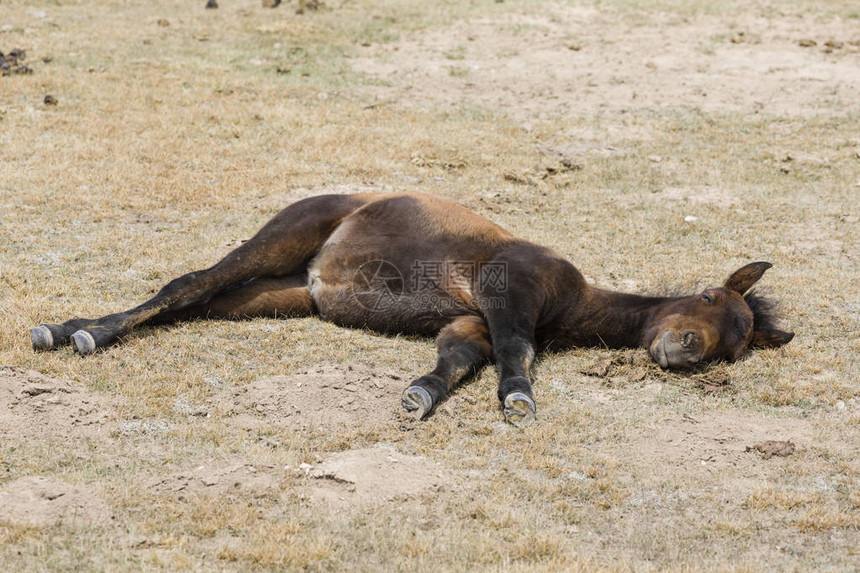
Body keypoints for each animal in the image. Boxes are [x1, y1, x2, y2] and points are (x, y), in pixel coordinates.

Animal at [30, 192, 796, 424]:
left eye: (733, 347)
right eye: (706, 297)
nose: (685, 349)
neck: (570, 299)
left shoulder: (469, 321)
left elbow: (455, 360)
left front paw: (419, 396)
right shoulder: (507, 292)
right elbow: (516, 351)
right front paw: (517, 399)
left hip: (276, 294)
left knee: (193, 303)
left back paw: (73, 329)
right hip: (279, 238)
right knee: (185, 285)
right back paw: (79, 334)